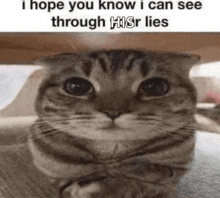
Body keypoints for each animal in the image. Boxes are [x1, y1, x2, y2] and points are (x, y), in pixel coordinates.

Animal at [28, 48, 200, 197]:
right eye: (77, 86)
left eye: (155, 86)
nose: (113, 112)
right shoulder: (55, 175)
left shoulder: (176, 170)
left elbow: (148, 181)